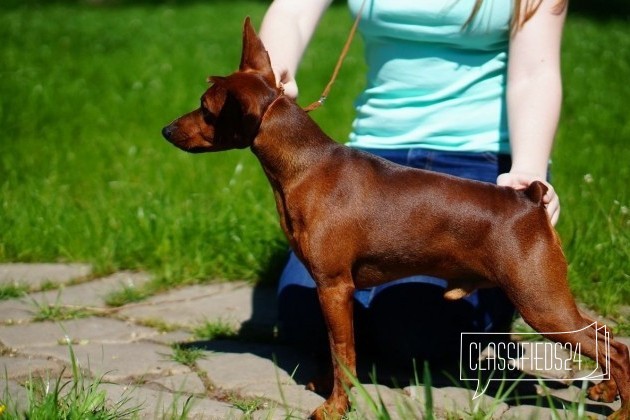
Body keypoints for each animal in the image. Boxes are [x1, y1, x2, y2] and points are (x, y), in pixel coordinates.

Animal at [164, 17, 630, 420]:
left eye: (205, 109)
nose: (167, 130)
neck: (305, 166)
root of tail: (529, 200)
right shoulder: (329, 290)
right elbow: (335, 349)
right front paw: (326, 388)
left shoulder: (334, 287)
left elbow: (344, 353)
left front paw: (335, 407)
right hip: (546, 302)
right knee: (606, 336)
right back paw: (605, 390)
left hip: (539, 301)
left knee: (614, 348)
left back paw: (620, 408)